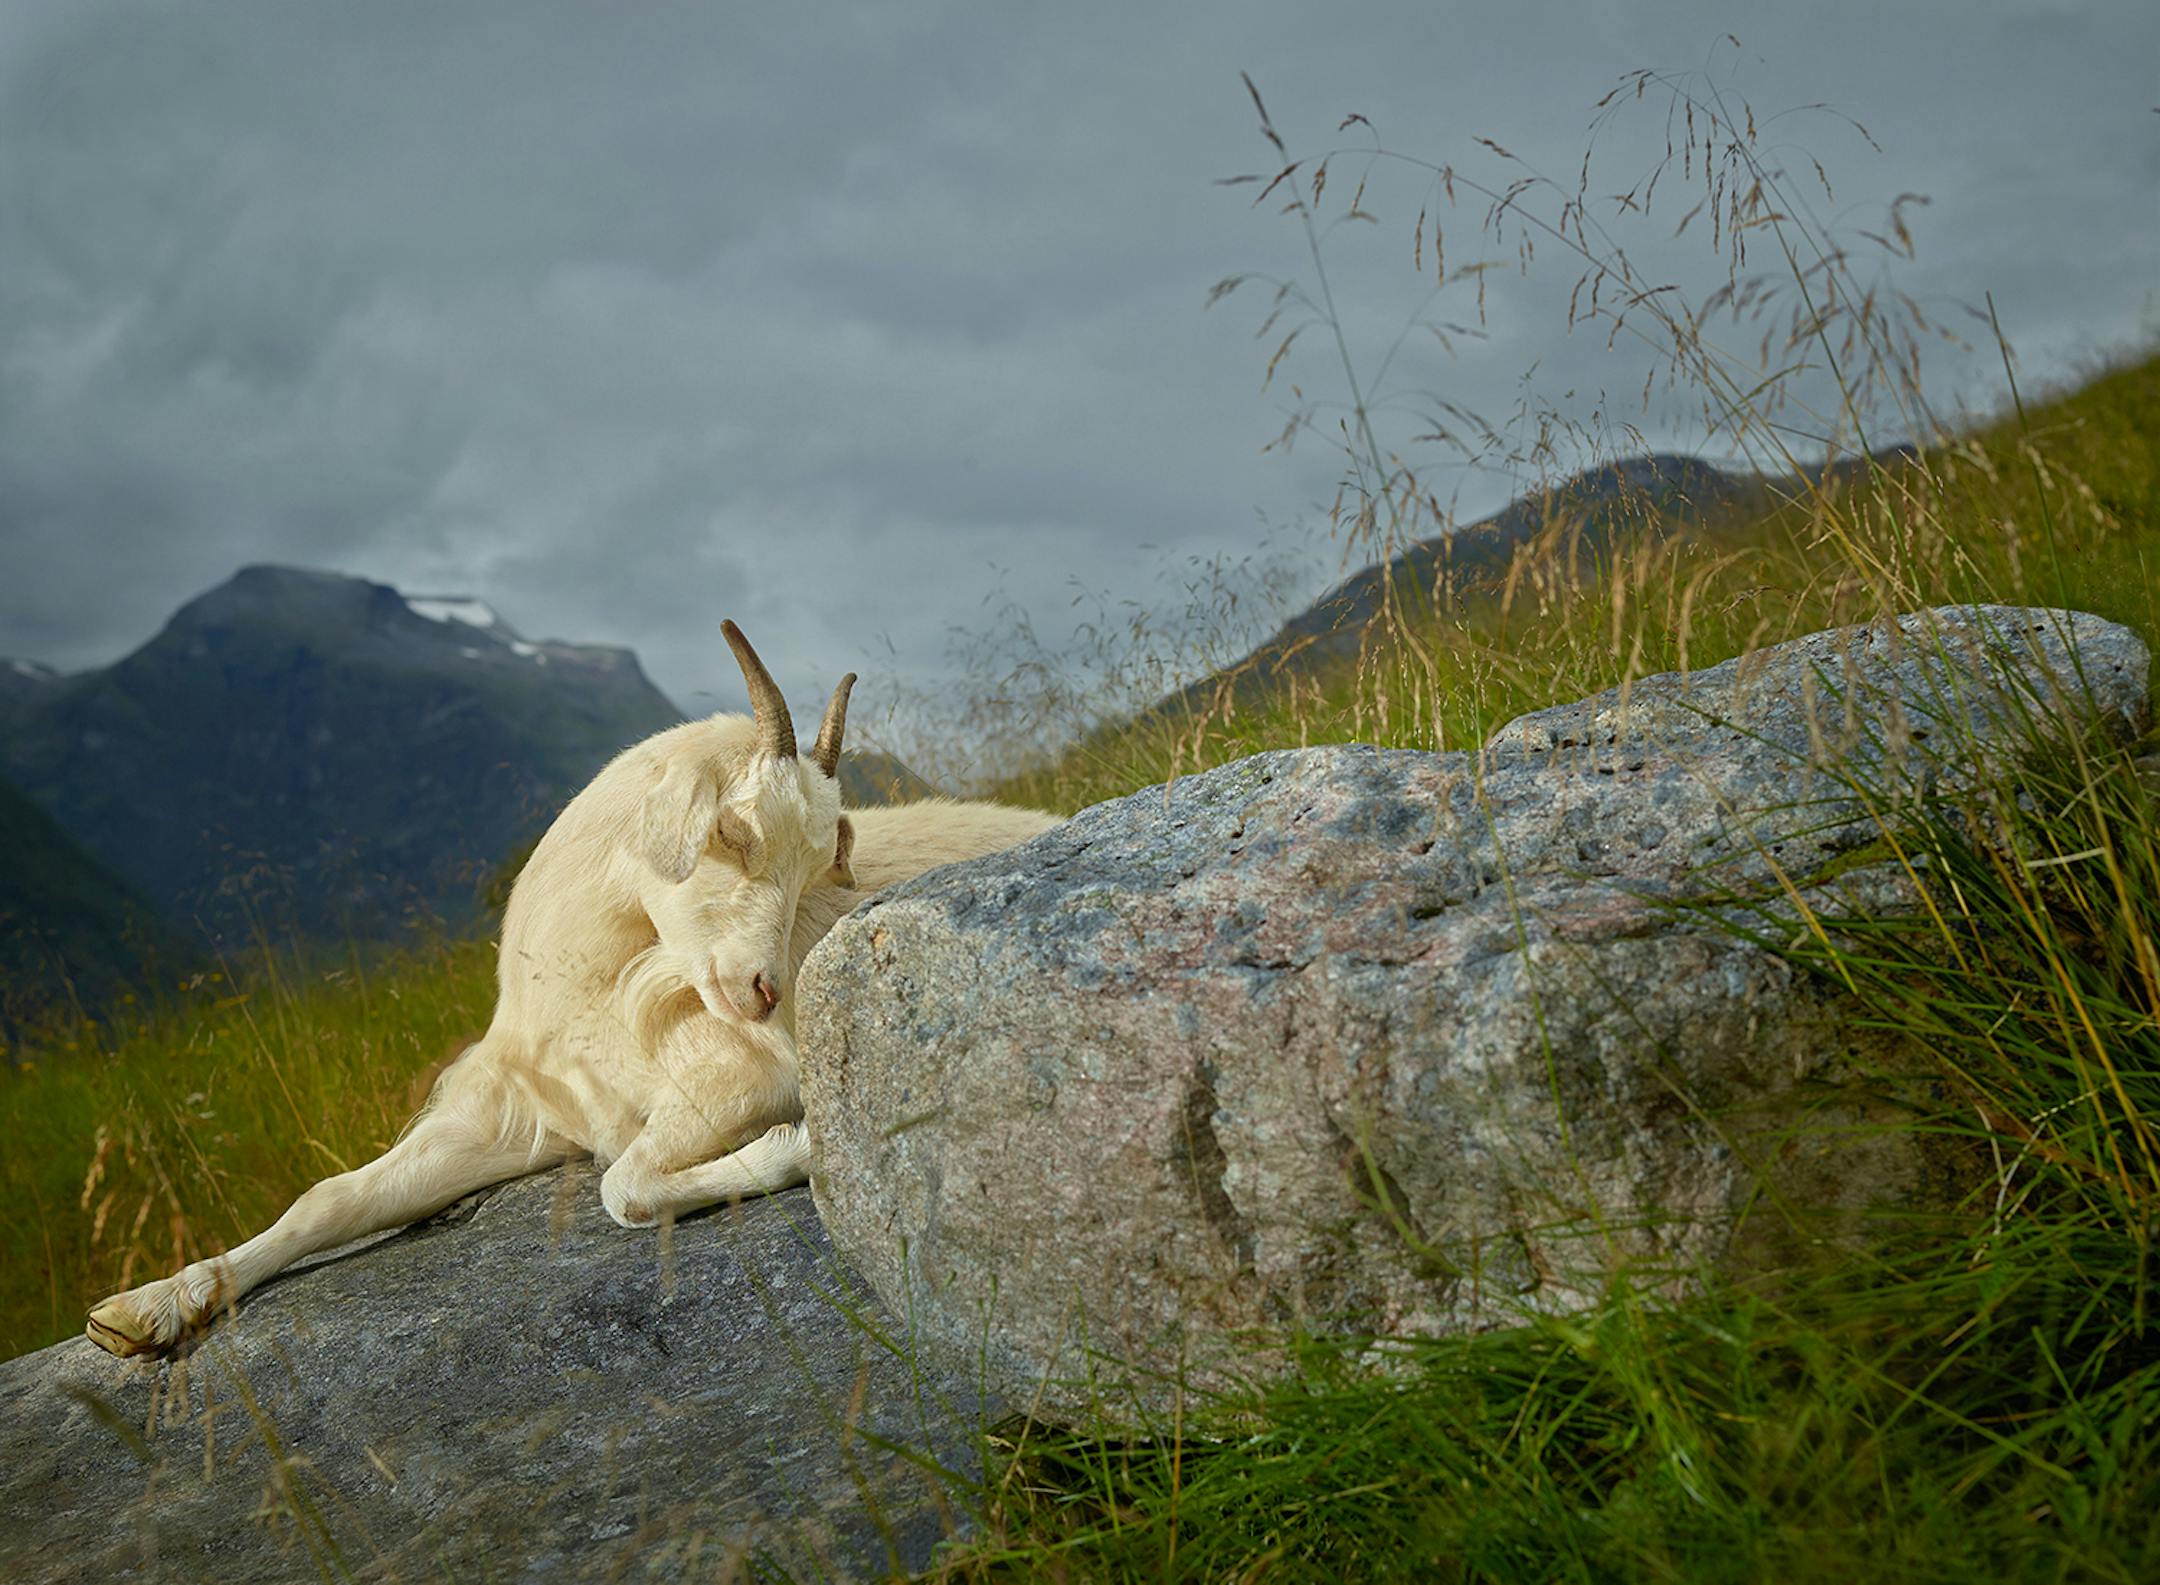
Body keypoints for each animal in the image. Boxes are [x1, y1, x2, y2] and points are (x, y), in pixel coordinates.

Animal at [85, 622, 1060, 1357]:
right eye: (733, 831)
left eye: (821, 864)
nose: (764, 990)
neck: (589, 1001)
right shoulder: (518, 1115)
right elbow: (333, 1197)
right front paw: (147, 1309)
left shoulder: (733, 1077)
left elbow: (623, 1187)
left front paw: (800, 1144)